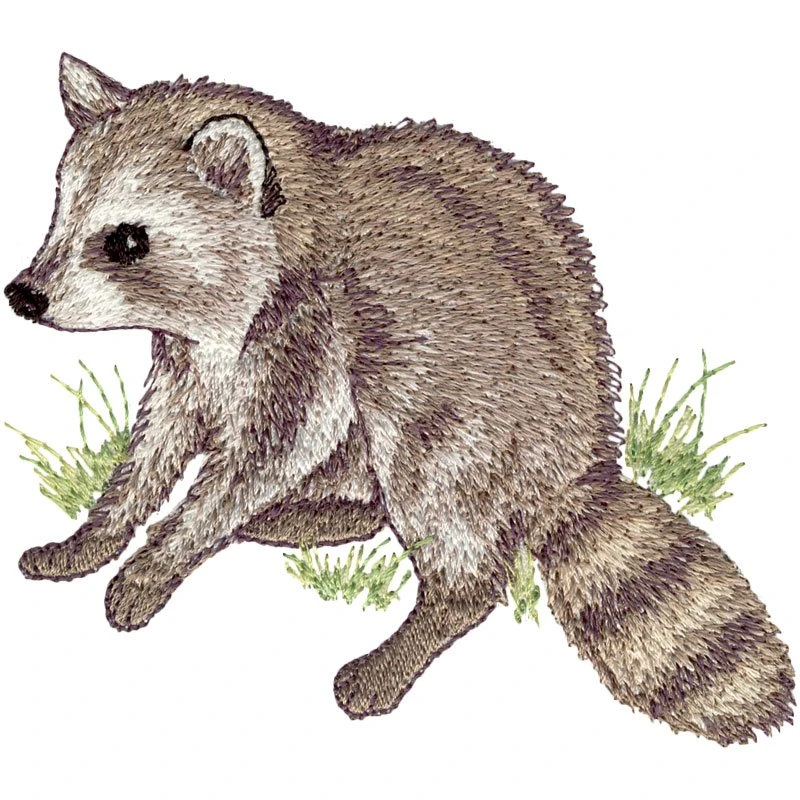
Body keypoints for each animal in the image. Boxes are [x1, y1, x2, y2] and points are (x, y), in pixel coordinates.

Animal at [5, 54, 793, 744]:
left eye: (127, 241)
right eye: (60, 213)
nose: (23, 296)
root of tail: (579, 458)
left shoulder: (317, 332)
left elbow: (266, 454)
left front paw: (163, 554)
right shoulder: (191, 358)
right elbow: (158, 444)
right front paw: (96, 533)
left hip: (464, 404)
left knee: (427, 482)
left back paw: (421, 618)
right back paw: (328, 513)